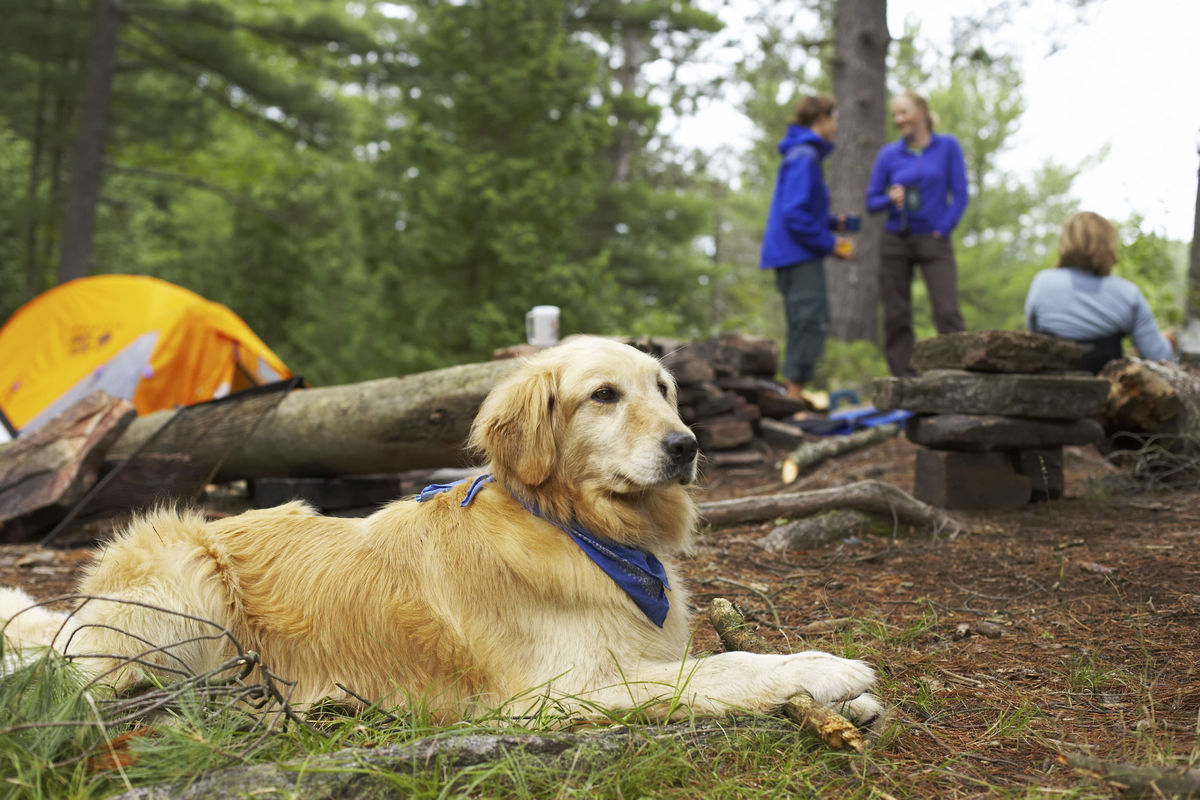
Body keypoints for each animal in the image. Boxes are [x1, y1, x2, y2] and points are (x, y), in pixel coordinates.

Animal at [0, 338, 883, 724]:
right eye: (603, 395)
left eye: (665, 388)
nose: (689, 445)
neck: (576, 527)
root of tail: (83, 609)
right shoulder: (560, 689)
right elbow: (725, 666)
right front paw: (826, 670)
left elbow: (712, 661)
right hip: (185, 560)